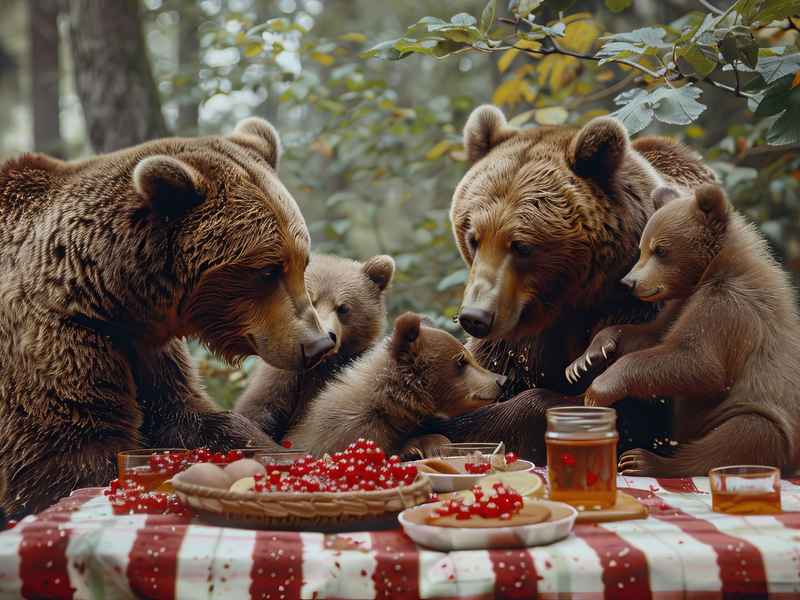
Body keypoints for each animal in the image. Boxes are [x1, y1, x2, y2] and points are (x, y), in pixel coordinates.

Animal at [0, 117, 334, 518]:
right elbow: (68, 456)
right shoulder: (56, 339)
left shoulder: (146, 348)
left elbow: (183, 414)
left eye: (303, 261)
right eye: (268, 269)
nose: (317, 344)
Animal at [286, 312, 508, 457]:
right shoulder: (347, 432)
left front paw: (432, 446)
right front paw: (413, 450)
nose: (501, 380)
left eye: (471, 357)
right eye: (461, 361)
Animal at [420, 104, 716, 462]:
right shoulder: (519, 339)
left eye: (521, 245)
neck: (570, 298)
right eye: (473, 237)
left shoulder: (639, 304)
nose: (475, 317)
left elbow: (636, 404)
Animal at [566, 184, 800, 476]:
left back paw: (643, 461)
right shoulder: (680, 303)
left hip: (762, 420)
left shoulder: (728, 307)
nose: (629, 282)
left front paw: (598, 389)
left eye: (660, 249)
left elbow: (697, 361)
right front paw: (585, 360)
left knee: (740, 437)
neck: (713, 269)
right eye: (642, 248)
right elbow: (651, 335)